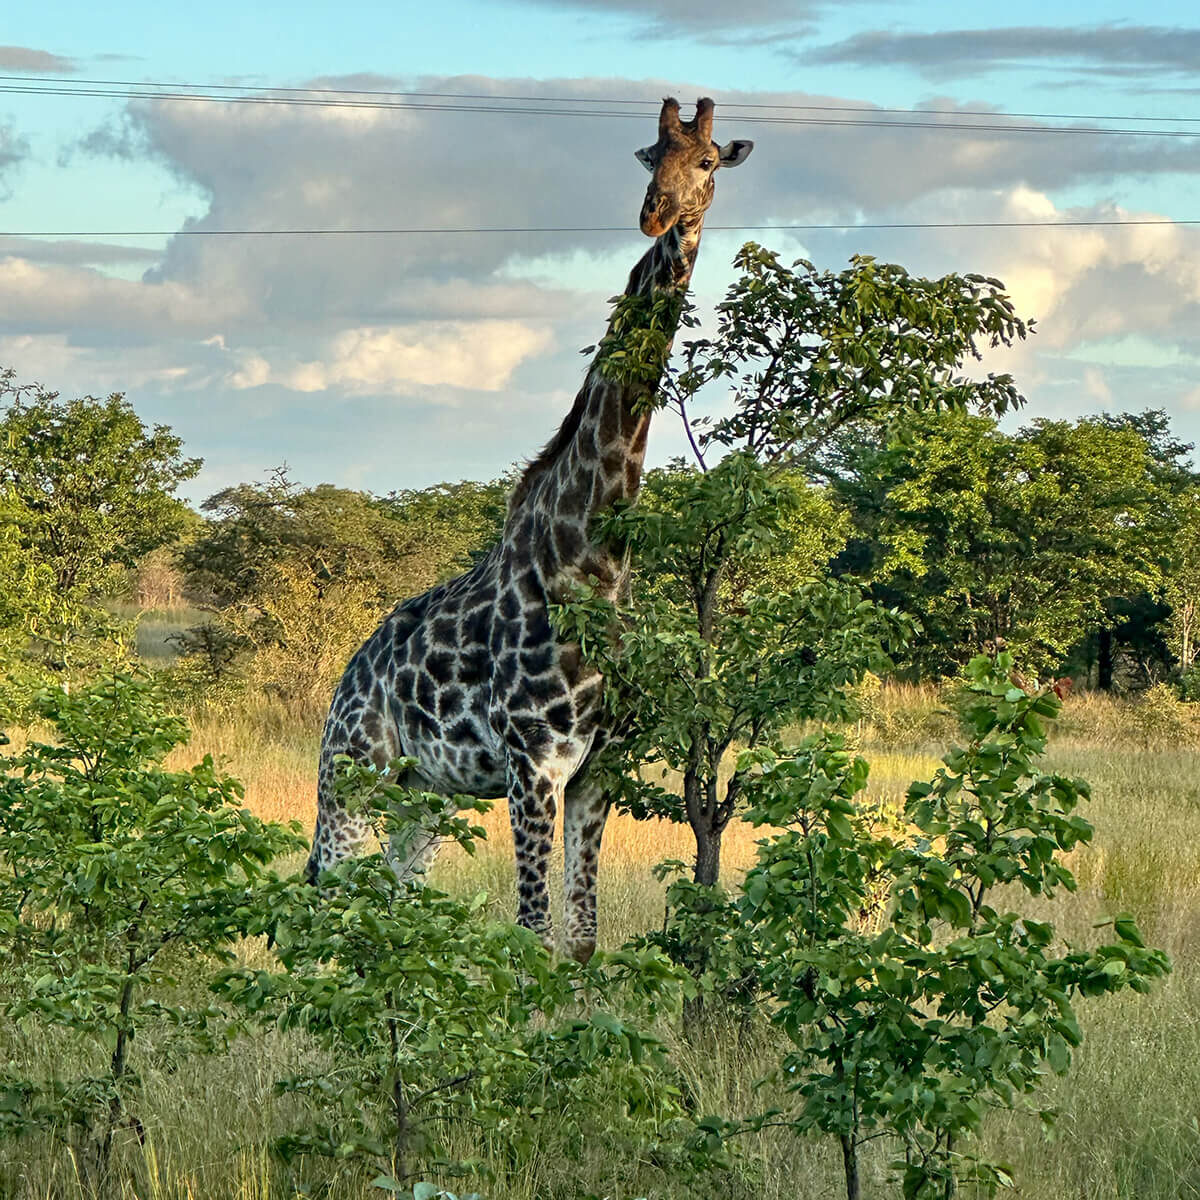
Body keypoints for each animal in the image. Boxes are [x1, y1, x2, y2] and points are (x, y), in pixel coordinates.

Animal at [306, 97, 753, 962]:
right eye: (649, 154)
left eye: (710, 160)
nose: (658, 215)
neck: (594, 555)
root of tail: (346, 676)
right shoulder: (533, 765)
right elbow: (529, 935)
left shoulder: (596, 772)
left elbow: (576, 941)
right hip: (351, 774)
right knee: (327, 913)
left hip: (423, 796)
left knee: (387, 910)